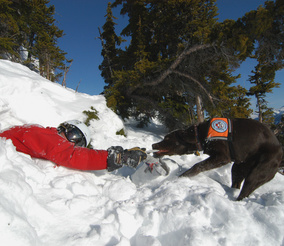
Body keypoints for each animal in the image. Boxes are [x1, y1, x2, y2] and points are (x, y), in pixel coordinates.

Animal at [152, 118, 282, 201]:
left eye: (167, 138)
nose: (153, 145)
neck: (200, 135)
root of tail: (280, 153)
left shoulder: (222, 157)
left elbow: (197, 166)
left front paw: (183, 177)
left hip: (257, 173)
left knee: (244, 192)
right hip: (238, 167)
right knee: (236, 183)